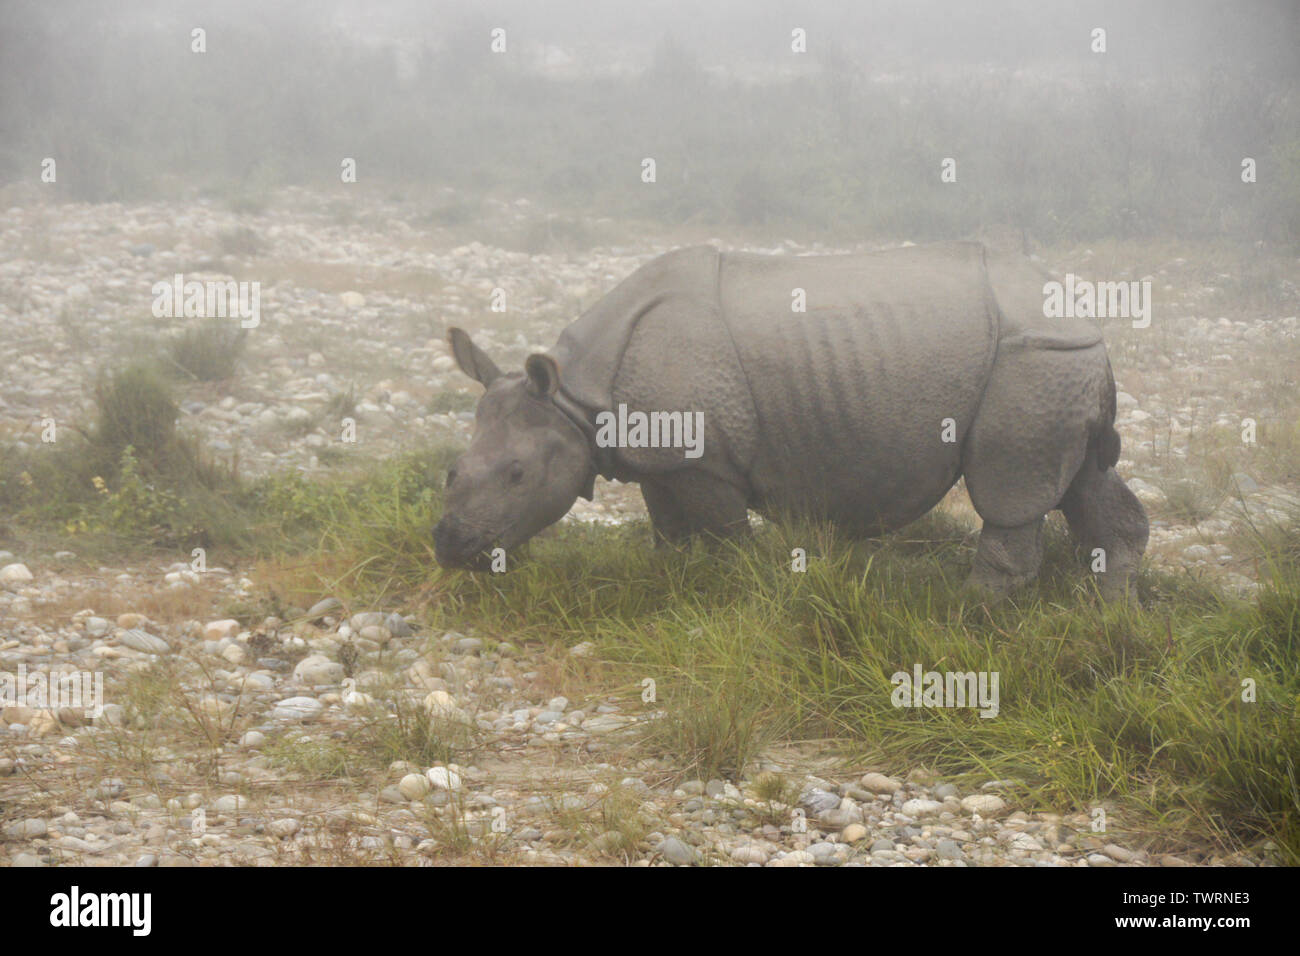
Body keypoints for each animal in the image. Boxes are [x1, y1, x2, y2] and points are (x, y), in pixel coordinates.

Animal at [434, 243, 1149, 598]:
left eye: (517, 474)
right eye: (450, 472)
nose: (449, 546)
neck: (574, 398)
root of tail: (1084, 316)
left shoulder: (704, 460)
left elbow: (723, 537)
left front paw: (732, 594)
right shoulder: (661, 459)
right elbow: (669, 533)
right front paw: (672, 586)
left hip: (1033, 360)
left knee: (1009, 493)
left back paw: (973, 617)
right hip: (1061, 362)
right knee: (1086, 481)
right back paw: (1110, 615)